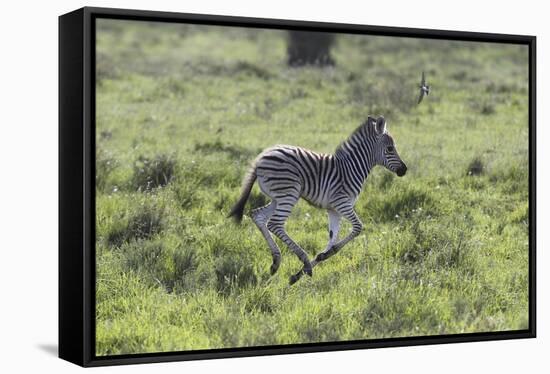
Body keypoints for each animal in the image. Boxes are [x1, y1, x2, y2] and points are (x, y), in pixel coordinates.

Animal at [226, 115, 408, 284]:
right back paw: (303, 260)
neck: (352, 168)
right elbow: (357, 228)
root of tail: (261, 157)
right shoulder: (342, 203)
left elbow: (332, 241)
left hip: (278, 197)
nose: (404, 170)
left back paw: (276, 262)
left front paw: (302, 271)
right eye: (390, 148)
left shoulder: (333, 210)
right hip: (289, 193)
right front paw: (310, 265)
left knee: (258, 216)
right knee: (274, 224)